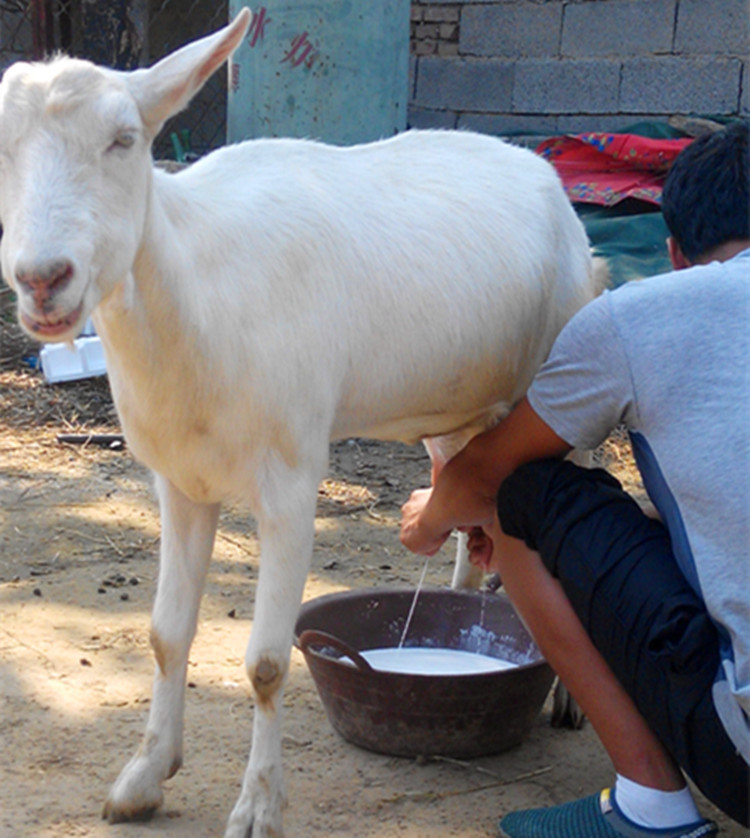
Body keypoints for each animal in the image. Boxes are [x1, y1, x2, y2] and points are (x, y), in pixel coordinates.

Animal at [0, 9, 600, 836]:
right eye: (3, 144)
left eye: (124, 138)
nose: (42, 279)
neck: (201, 294)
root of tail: (545, 180)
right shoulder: (177, 480)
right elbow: (165, 635)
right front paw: (143, 777)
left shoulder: (289, 477)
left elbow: (264, 661)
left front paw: (258, 805)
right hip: (462, 404)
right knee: (468, 496)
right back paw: (469, 599)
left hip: (569, 373)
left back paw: (570, 697)